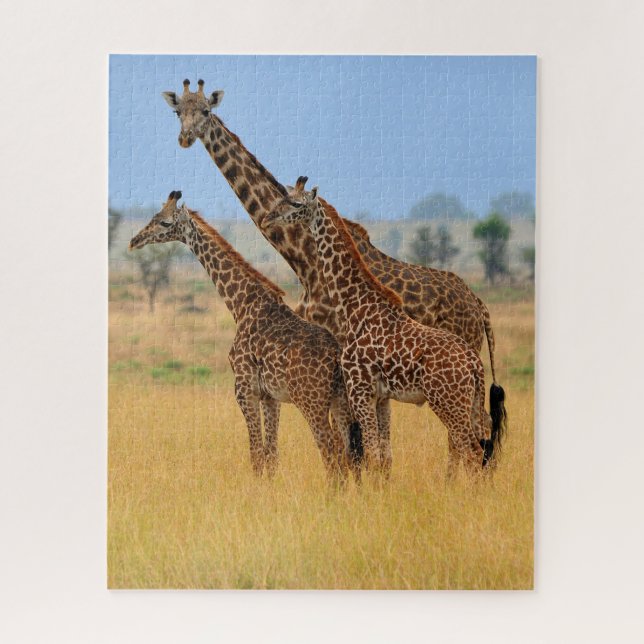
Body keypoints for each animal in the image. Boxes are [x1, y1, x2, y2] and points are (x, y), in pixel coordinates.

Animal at [129, 191, 356, 484]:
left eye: (165, 223)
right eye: (154, 216)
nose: (135, 241)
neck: (241, 304)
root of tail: (337, 357)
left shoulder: (244, 388)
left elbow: (256, 453)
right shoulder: (270, 396)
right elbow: (271, 454)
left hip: (311, 401)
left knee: (330, 449)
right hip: (339, 399)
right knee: (346, 451)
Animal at [160, 80, 506, 434]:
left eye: (206, 111)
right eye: (178, 112)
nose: (185, 138)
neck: (302, 255)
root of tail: (479, 306)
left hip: (462, 348)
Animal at [264, 178, 506, 477]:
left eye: (296, 203)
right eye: (284, 196)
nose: (268, 218)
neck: (354, 307)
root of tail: (475, 365)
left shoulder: (360, 390)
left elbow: (371, 454)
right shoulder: (380, 397)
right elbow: (382, 457)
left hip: (448, 401)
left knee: (471, 451)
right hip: (468, 400)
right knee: (481, 443)